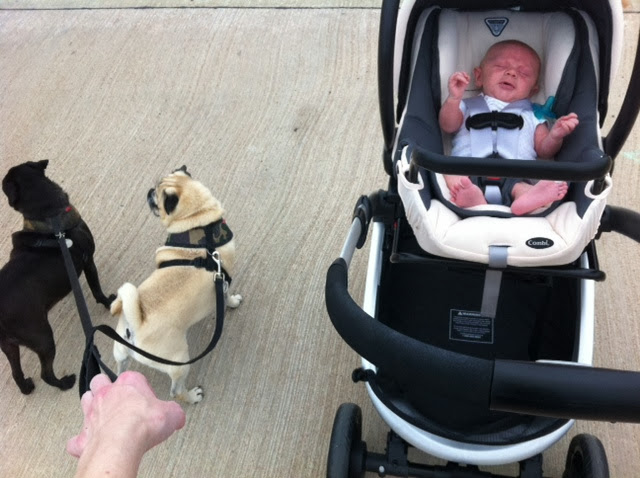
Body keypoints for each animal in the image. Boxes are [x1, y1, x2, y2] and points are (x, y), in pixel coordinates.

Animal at [0, 160, 114, 394]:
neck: (49, 217)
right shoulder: (89, 262)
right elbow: (97, 290)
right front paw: (109, 302)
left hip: (9, 345)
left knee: (16, 373)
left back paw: (26, 387)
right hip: (43, 338)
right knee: (45, 373)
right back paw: (64, 383)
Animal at [110, 166, 242, 404]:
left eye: (156, 197)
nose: (149, 191)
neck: (198, 222)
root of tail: (136, 325)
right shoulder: (223, 282)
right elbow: (227, 298)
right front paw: (233, 303)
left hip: (120, 352)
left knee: (119, 369)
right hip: (180, 361)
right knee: (175, 392)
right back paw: (191, 396)